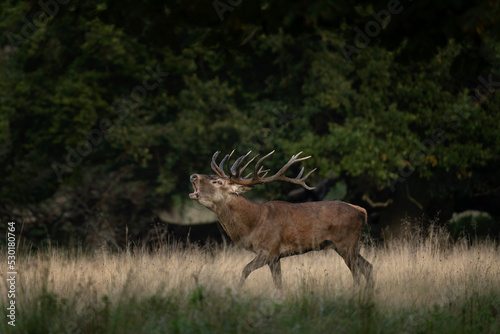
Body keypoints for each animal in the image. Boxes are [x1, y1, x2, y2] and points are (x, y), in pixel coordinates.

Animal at [189, 150, 374, 288]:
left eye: (218, 182)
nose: (193, 176)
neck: (253, 224)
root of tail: (362, 211)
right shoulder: (275, 256)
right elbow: (278, 283)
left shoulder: (269, 249)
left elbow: (245, 270)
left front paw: (236, 292)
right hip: (345, 246)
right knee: (368, 267)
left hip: (346, 243)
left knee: (358, 272)